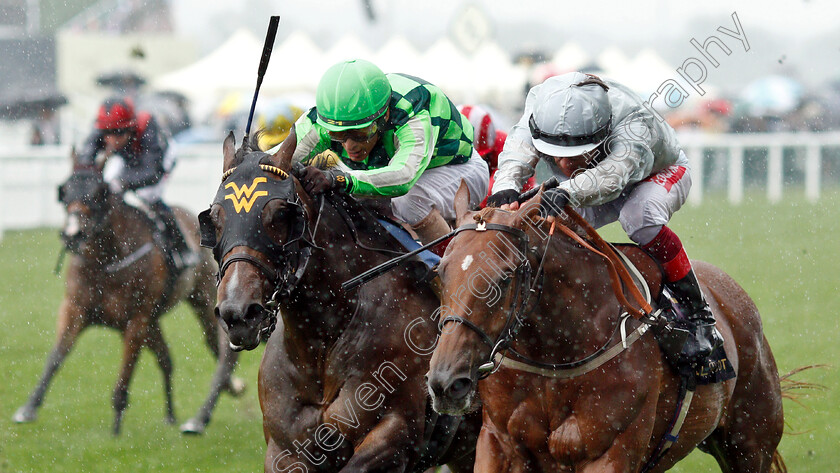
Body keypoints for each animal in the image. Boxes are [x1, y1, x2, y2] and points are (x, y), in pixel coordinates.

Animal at [13, 149, 243, 434]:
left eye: (98, 193)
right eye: (64, 191)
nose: (73, 235)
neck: (105, 262)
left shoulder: (135, 320)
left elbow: (125, 374)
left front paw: (116, 427)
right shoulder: (75, 309)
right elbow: (56, 357)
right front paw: (28, 408)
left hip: (200, 299)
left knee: (215, 346)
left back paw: (222, 394)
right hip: (155, 320)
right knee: (167, 358)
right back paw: (172, 414)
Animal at [200, 134, 480, 472]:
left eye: (280, 214)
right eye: (215, 218)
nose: (238, 313)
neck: (323, 343)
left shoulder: (396, 436)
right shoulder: (284, 451)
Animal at [426, 185, 788, 472]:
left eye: (504, 277)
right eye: (439, 272)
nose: (446, 382)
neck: (555, 354)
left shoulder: (612, 450)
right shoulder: (498, 443)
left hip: (750, 442)